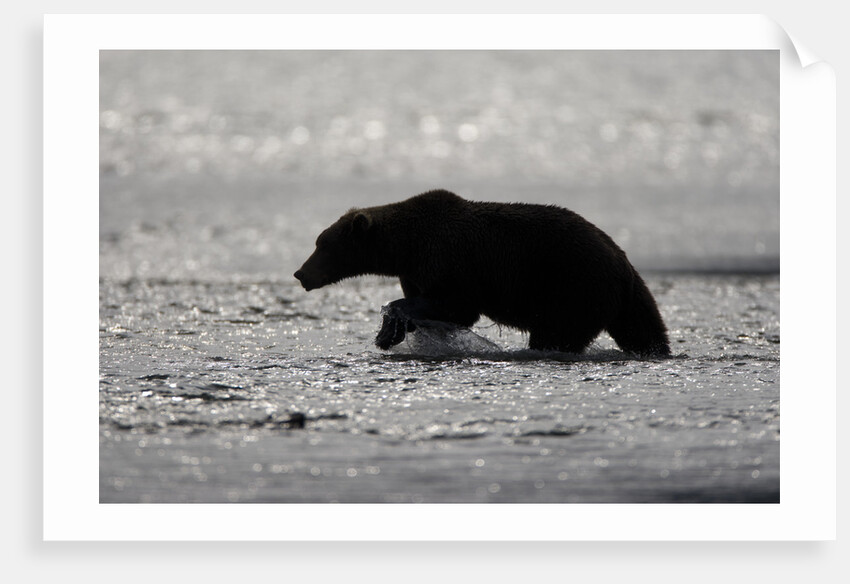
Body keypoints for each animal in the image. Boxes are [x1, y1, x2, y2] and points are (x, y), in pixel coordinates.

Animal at [294, 189, 671, 357]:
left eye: (323, 244)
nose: (301, 273)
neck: (406, 247)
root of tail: (623, 262)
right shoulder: (415, 270)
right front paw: (392, 332)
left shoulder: (449, 262)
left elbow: (455, 305)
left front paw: (389, 325)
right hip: (622, 297)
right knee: (642, 329)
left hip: (572, 286)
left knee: (558, 333)